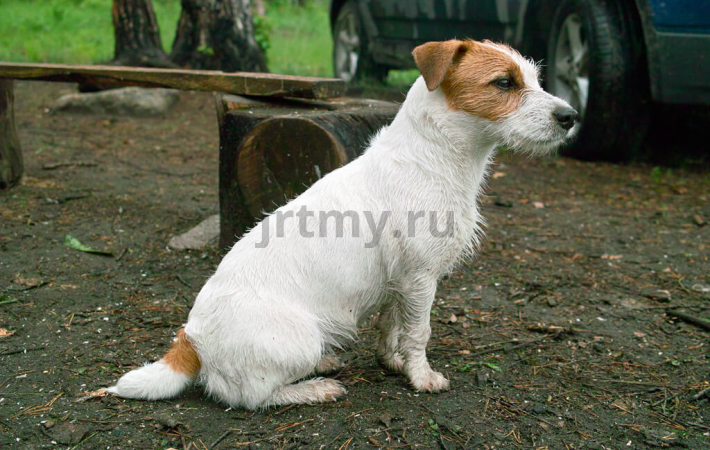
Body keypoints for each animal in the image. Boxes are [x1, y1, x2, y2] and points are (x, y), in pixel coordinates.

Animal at [110, 40, 580, 410]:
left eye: (535, 79)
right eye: (504, 83)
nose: (571, 116)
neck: (431, 157)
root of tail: (190, 340)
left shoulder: (400, 283)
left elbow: (393, 327)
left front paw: (393, 363)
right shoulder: (421, 277)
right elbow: (419, 333)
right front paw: (421, 377)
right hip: (294, 341)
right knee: (252, 397)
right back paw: (314, 389)